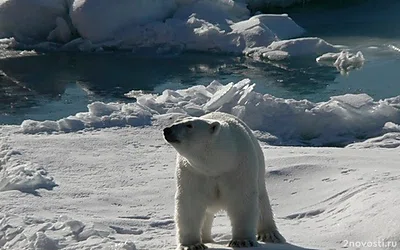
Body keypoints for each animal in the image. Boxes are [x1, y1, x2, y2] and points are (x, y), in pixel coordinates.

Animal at [163, 112, 288, 250]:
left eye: (189, 125)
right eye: (177, 121)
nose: (167, 130)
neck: (218, 164)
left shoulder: (238, 167)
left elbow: (241, 199)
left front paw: (242, 241)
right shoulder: (193, 172)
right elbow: (190, 203)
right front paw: (192, 245)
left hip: (259, 168)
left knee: (262, 200)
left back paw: (269, 234)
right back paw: (206, 239)